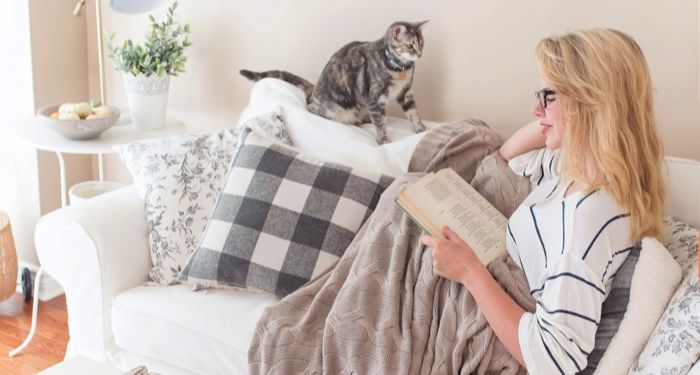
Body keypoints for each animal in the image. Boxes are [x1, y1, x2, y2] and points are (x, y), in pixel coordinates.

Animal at [241, 20, 426, 144]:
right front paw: (384, 140)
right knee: (310, 109)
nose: (419, 54)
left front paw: (420, 129)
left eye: (421, 43)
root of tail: (314, 90)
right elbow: (380, 123)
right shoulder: (375, 98)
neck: (400, 69)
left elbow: (413, 111)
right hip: (334, 108)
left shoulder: (406, 92)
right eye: (410, 46)